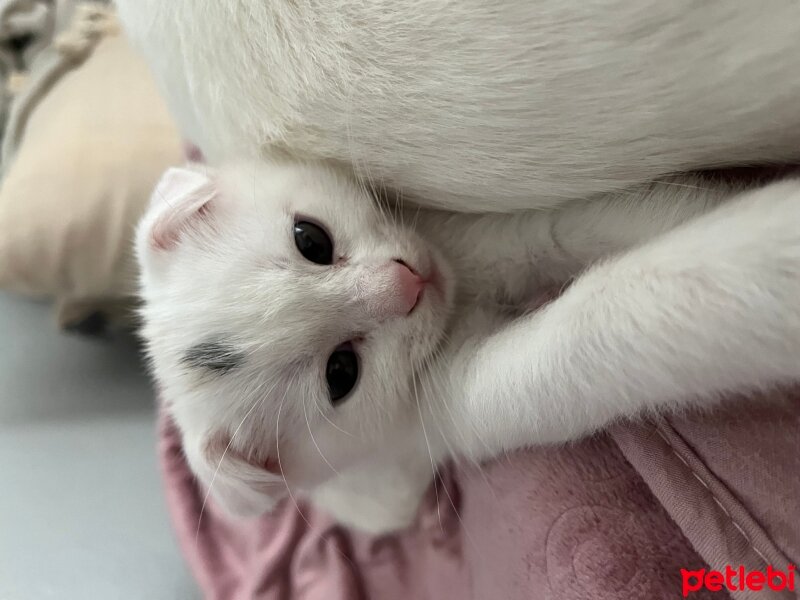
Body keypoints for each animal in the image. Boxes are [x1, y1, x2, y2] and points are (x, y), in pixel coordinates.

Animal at [136, 161, 800, 536]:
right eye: (341, 372)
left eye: (311, 239)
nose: (406, 283)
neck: (460, 293)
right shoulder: (452, 407)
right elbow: (581, 334)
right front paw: (766, 253)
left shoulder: (472, 237)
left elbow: (576, 227)